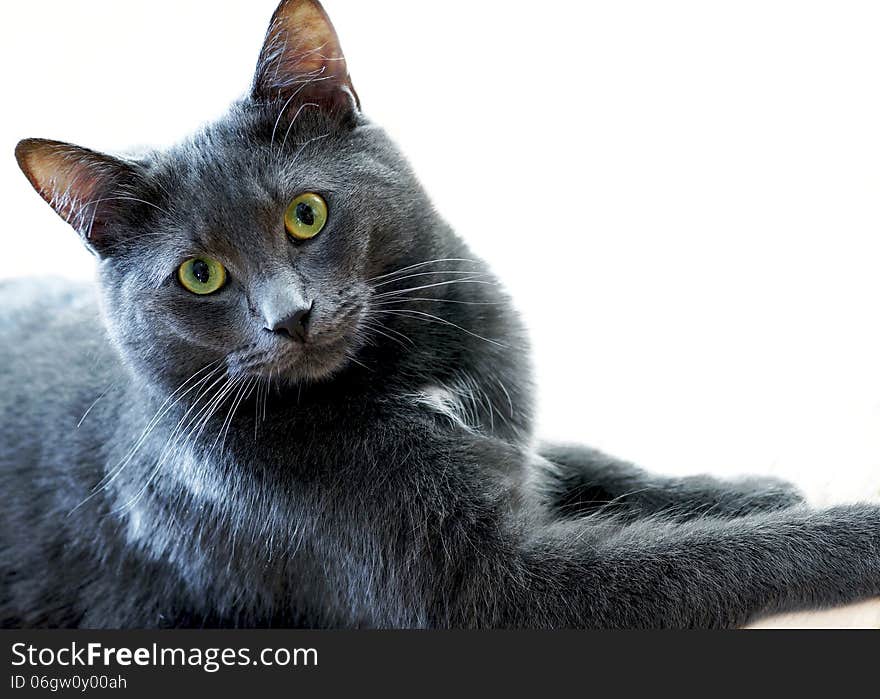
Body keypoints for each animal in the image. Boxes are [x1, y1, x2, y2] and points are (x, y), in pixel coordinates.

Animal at [1, 0, 880, 628]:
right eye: (200, 273)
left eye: (306, 214)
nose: (291, 316)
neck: (402, 375)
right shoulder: (486, 591)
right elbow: (701, 559)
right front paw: (850, 527)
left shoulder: (514, 444)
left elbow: (596, 464)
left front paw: (750, 487)